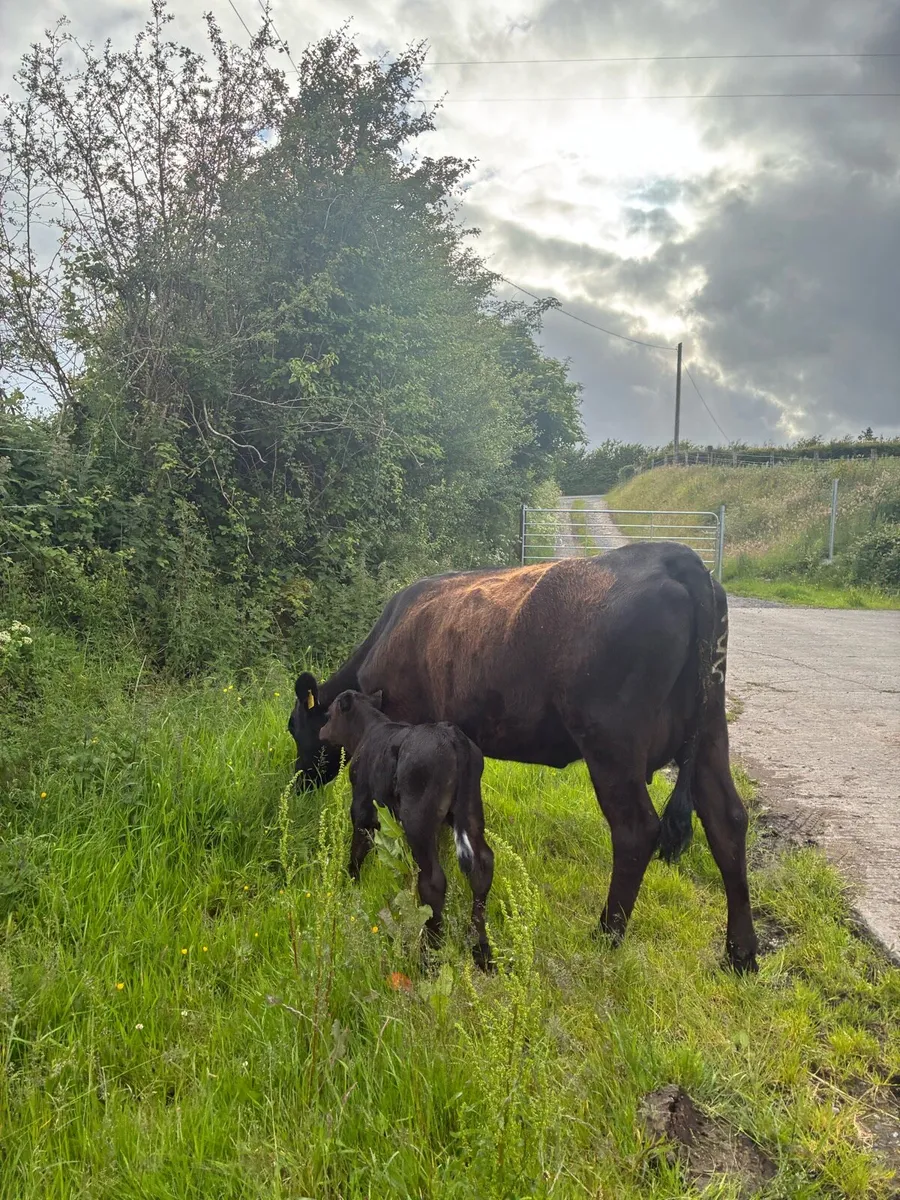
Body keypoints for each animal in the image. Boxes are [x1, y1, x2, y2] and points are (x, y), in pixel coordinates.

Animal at [319, 689, 495, 970]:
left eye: (329, 714)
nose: (321, 731)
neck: (369, 730)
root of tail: (452, 735)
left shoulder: (362, 809)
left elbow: (357, 851)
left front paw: (349, 885)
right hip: (471, 811)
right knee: (483, 866)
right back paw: (480, 949)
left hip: (418, 820)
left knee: (433, 881)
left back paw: (429, 955)